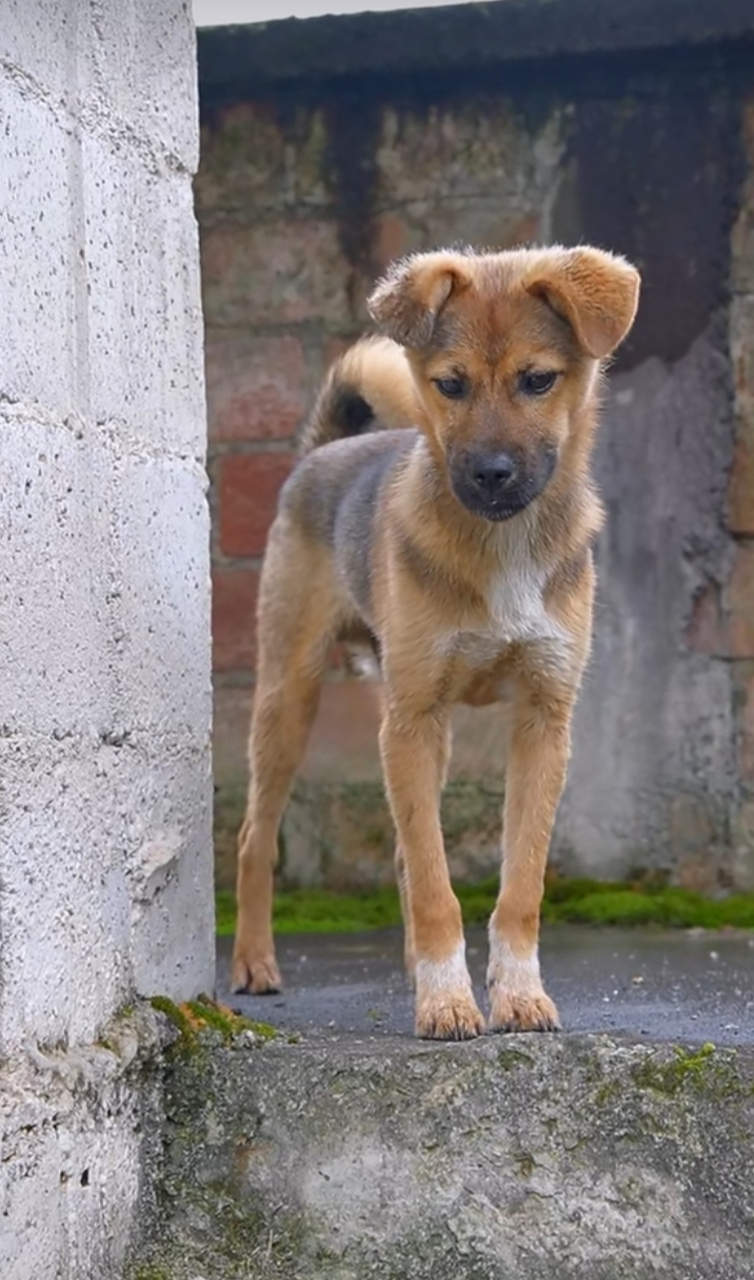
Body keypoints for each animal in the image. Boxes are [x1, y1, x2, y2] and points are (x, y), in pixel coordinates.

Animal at [231, 247, 637, 1039]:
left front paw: (516, 994)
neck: (504, 544)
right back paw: (255, 963)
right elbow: (434, 882)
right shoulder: (410, 720)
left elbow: (518, 881)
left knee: (400, 850)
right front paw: (448, 1001)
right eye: (450, 384)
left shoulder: (543, 719)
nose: (490, 475)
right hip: (289, 699)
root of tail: (329, 447)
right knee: (256, 838)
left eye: (538, 380)